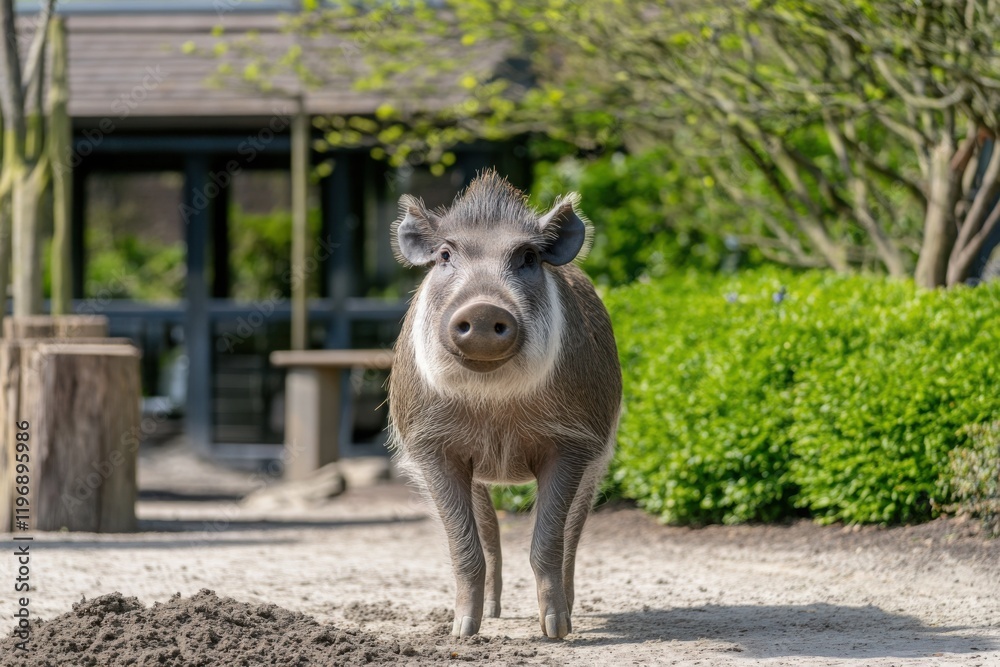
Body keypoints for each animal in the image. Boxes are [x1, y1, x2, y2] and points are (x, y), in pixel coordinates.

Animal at [388, 170, 622, 640]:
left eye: (527, 257)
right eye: (445, 255)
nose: (483, 308)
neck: (495, 406)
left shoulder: (573, 441)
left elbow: (547, 542)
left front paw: (556, 633)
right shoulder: (430, 446)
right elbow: (465, 547)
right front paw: (462, 633)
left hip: (598, 461)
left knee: (573, 533)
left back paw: (569, 615)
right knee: (491, 532)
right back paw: (493, 615)